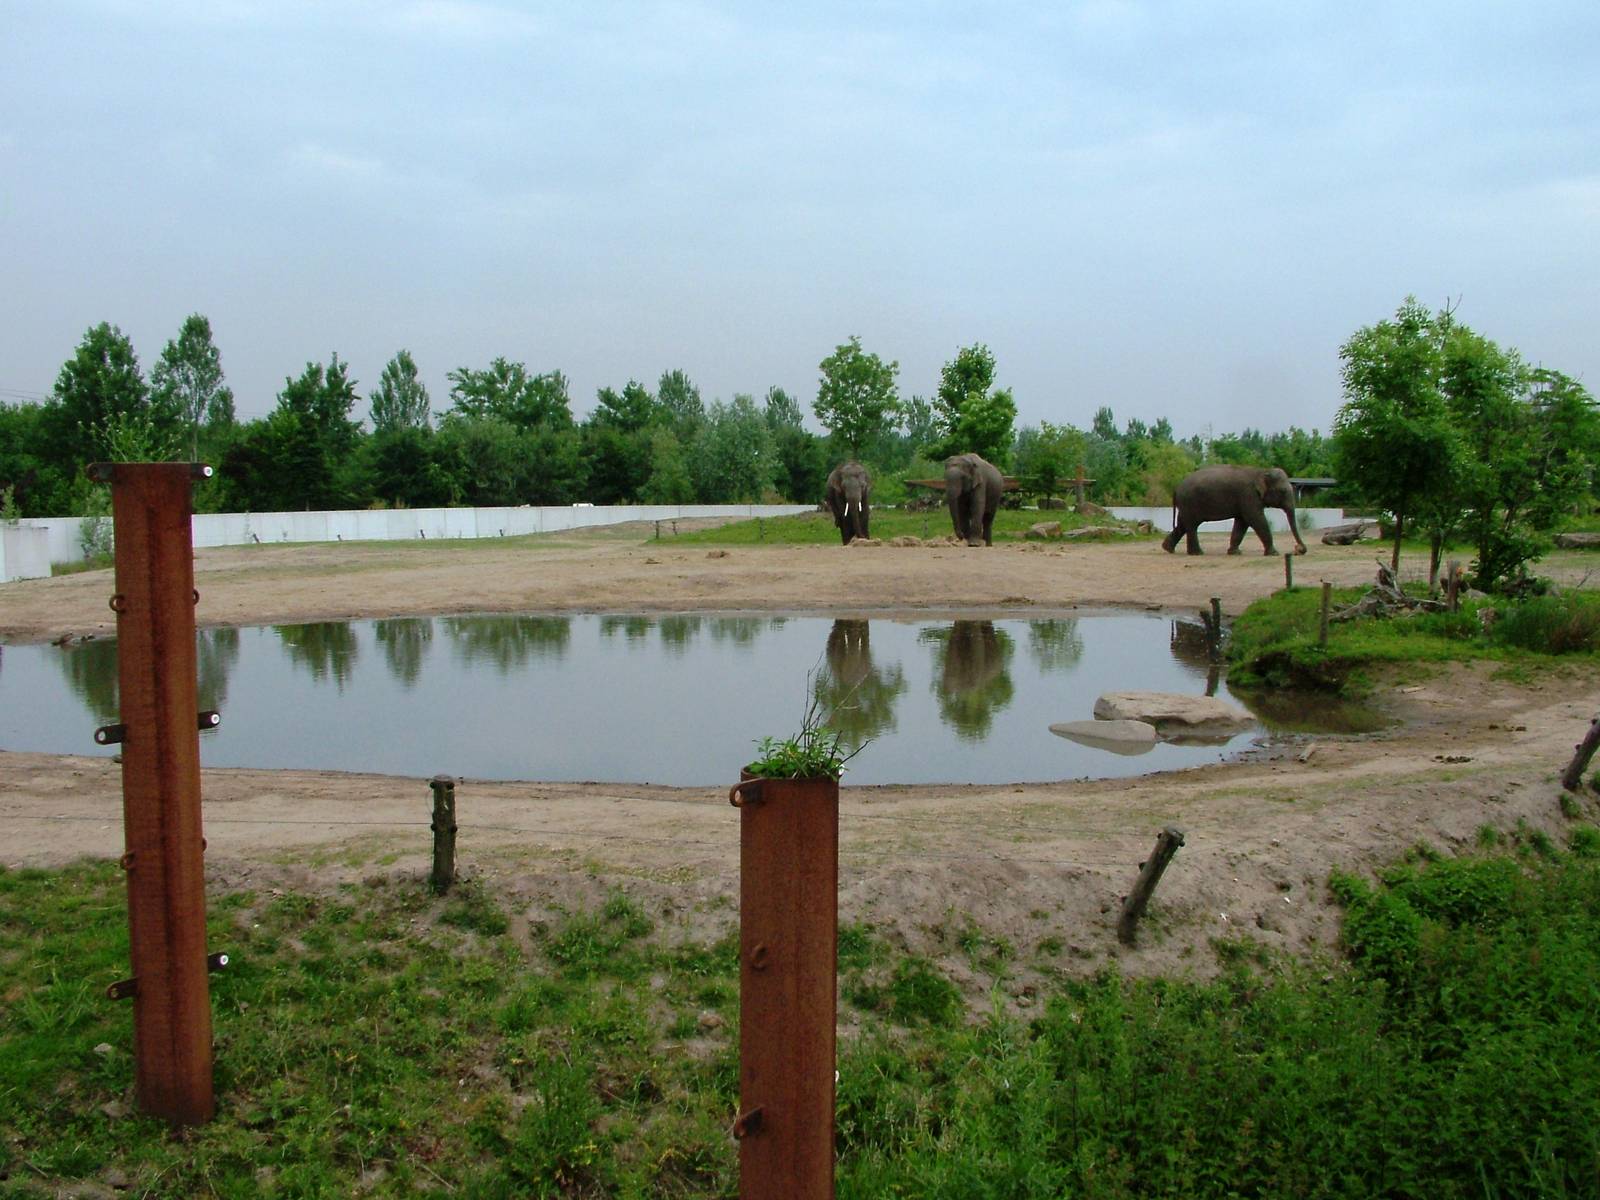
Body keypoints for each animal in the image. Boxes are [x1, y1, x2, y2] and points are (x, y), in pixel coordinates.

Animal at [1161, 465, 1307, 557]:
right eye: (1283, 491)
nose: (1299, 550)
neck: (1261, 471)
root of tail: (1176, 488)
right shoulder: (1248, 495)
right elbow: (1256, 519)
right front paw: (1274, 554)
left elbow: (1242, 523)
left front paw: (1235, 553)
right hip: (1190, 502)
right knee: (1191, 526)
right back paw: (1197, 553)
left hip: (1186, 505)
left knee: (1183, 525)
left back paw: (1167, 549)